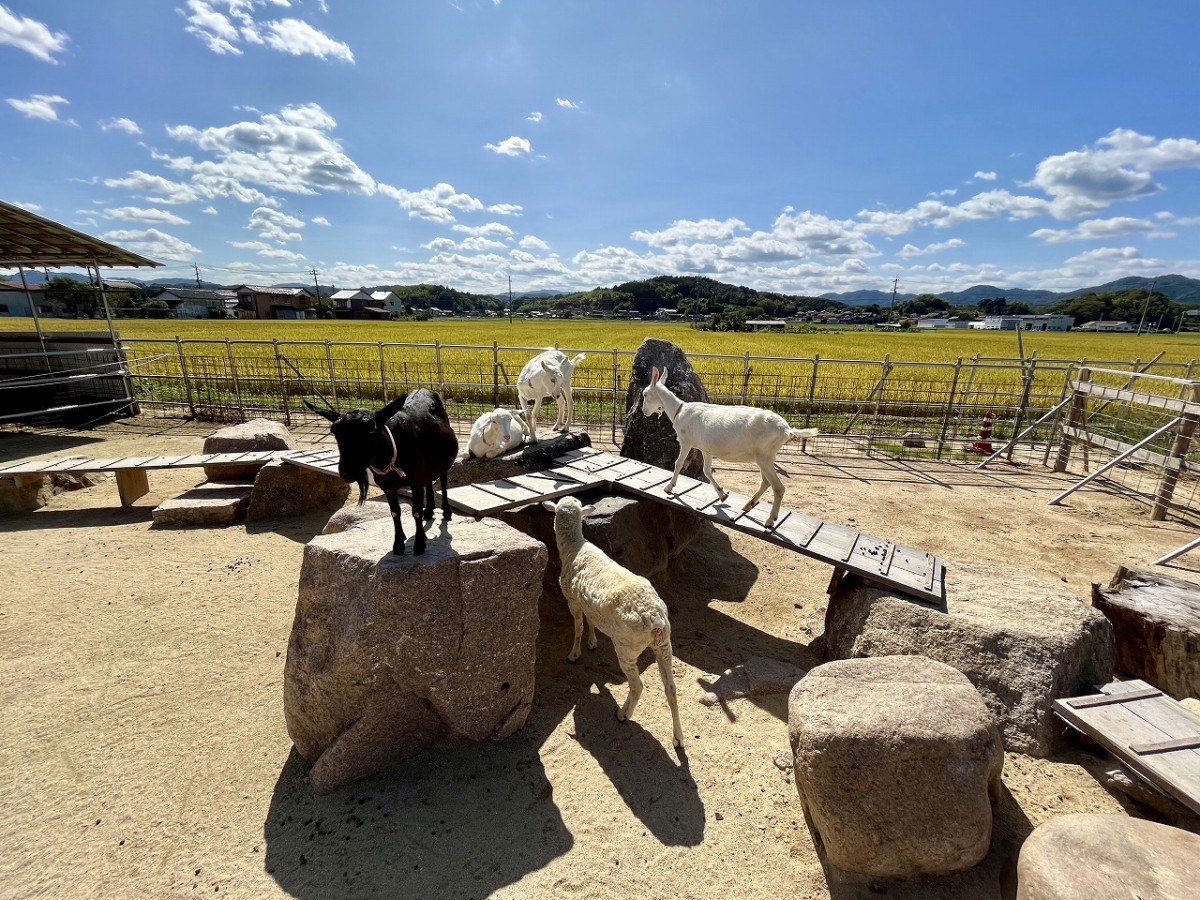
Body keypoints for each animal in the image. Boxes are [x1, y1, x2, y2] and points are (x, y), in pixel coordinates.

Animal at [304, 393, 458, 556]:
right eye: (335, 431)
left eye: (371, 430)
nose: (347, 471)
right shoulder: (388, 486)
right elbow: (395, 512)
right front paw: (398, 544)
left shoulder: (415, 481)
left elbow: (416, 512)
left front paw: (419, 545)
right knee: (428, 481)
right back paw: (428, 511)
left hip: (443, 464)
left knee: (443, 481)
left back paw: (446, 511)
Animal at [544, 496, 686, 748]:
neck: (575, 546)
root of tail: (655, 620)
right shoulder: (587, 600)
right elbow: (591, 621)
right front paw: (592, 642)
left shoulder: (572, 600)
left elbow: (578, 627)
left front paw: (574, 654)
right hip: (665, 645)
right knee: (671, 688)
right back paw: (678, 737)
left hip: (627, 647)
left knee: (637, 685)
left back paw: (623, 714)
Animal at [643, 367, 820, 532]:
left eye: (644, 394)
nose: (644, 412)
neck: (679, 410)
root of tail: (787, 429)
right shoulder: (706, 449)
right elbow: (707, 470)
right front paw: (722, 495)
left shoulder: (686, 442)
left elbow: (678, 463)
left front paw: (668, 487)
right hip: (765, 457)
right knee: (765, 482)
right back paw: (748, 505)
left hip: (764, 456)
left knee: (778, 487)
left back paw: (769, 521)